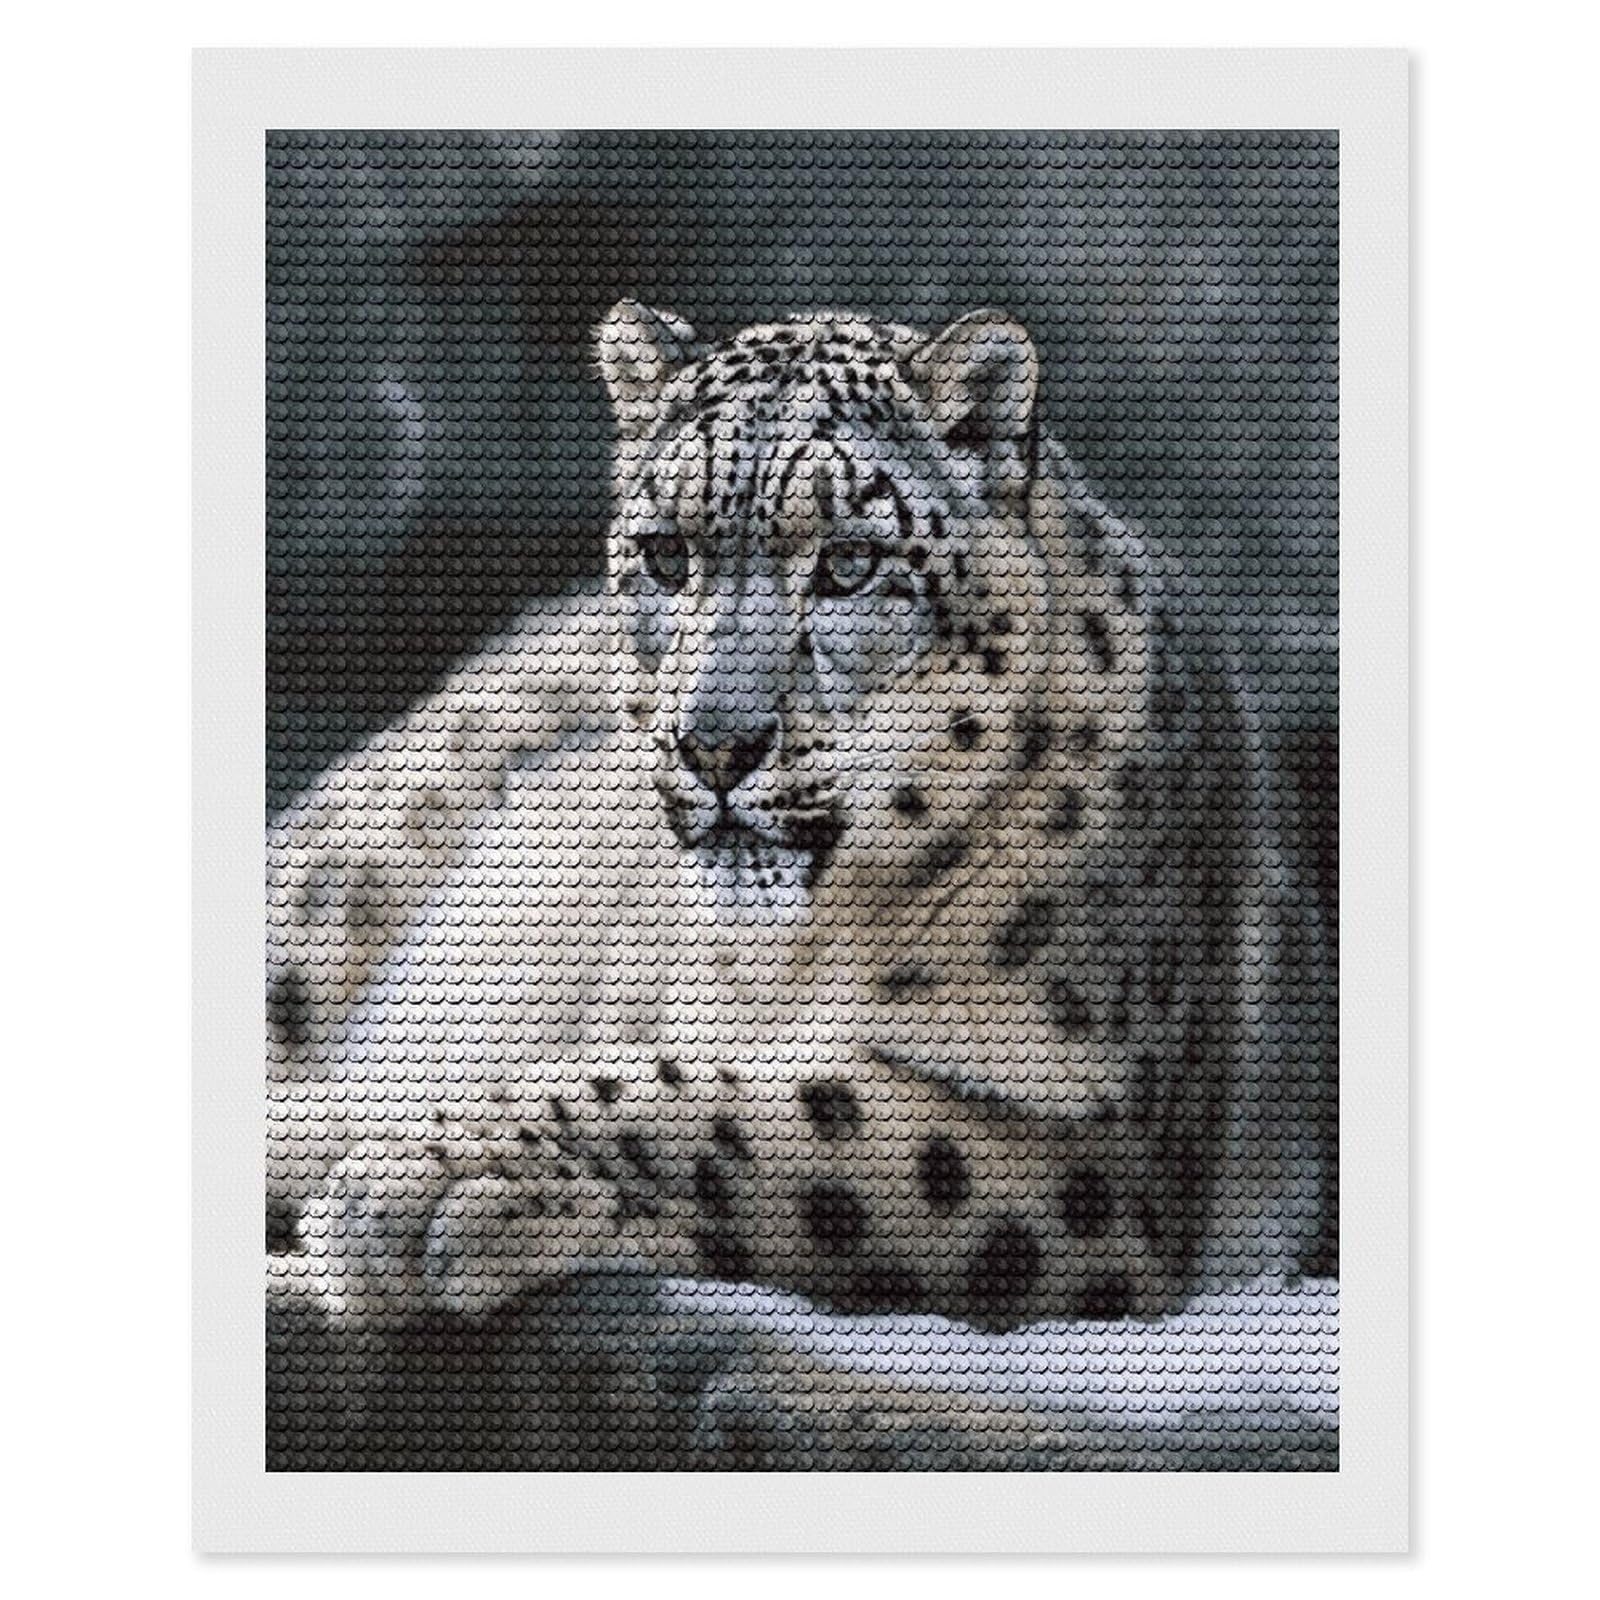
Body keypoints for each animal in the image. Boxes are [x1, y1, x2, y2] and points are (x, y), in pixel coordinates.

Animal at [266, 303, 1333, 1441]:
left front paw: (420, 1185)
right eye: (666, 552)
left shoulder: (1091, 1156)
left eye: (850, 563)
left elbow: (746, 1118)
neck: (796, 955)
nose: (715, 744)